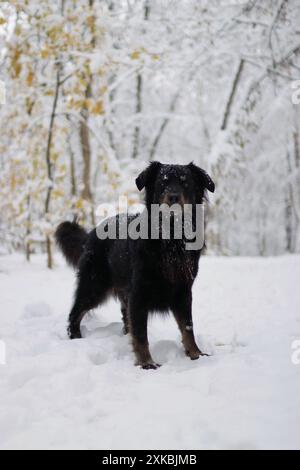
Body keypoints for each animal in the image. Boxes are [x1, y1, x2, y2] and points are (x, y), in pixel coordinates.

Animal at [55, 163, 216, 370]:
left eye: (185, 182)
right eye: (162, 183)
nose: (173, 197)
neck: (170, 241)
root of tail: (91, 233)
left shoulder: (183, 292)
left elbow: (188, 327)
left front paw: (196, 354)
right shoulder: (139, 294)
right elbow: (140, 333)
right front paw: (147, 363)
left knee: (124, 317)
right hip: (94, 286)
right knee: (75, 312)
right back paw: (76, 337)